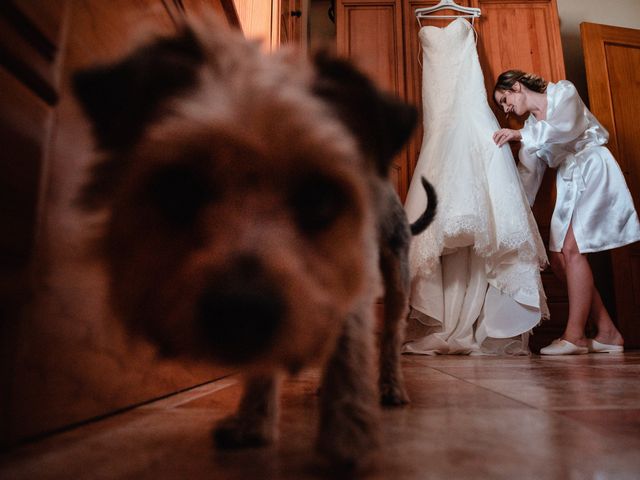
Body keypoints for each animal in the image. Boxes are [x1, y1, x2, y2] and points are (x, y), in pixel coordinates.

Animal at [74, 15, 436, 472]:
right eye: (179, 190)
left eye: (319, 198)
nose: (238, 311)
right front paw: (252, 421)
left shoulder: (347, 285)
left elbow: (351, 355)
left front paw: (348, 436)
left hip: (395, 274)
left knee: (389, 335)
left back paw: (389, 387)